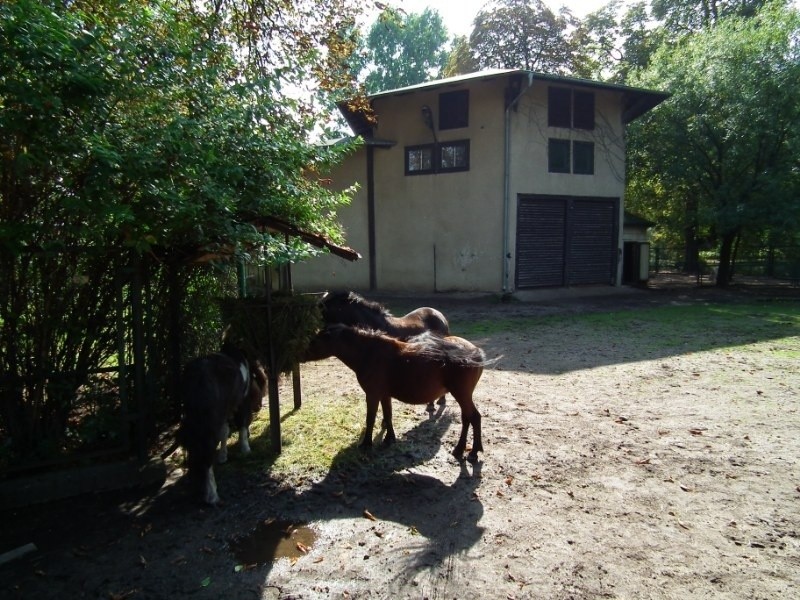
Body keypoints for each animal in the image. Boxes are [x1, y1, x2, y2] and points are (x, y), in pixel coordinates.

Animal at [304, 326, 488, 462]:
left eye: (316, 340)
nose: (299, 355)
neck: (369, 354)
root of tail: (476, 352)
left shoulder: (372, 394)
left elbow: (370, 419)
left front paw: (366, 444)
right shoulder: (384, 395)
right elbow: (388, 415)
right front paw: (389, 439)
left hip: (462, 394)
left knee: (474, 417)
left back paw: (472, 452)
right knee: (467, 418)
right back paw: (461, 449)